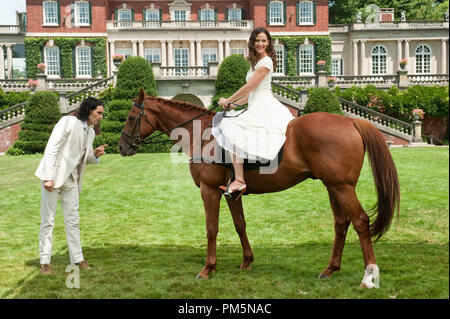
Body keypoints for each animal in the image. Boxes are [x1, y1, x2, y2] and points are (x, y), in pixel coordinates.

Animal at [118, 89, 400, 290]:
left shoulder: (209, 190)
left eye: (131, 118)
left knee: (360, 221)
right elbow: (240, 224)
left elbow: (212, 228)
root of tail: (350, 123)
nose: (121, 146)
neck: (201, 134)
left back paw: (368, 277)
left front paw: (208, 269)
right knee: (341, 223)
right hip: (333, 187)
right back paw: (329, 270)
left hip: (342, 187)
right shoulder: (230, 193)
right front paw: (247, 261)